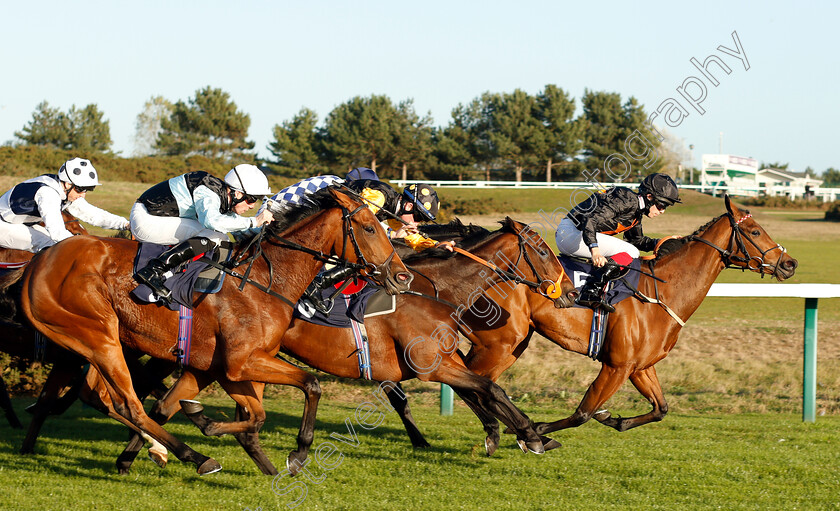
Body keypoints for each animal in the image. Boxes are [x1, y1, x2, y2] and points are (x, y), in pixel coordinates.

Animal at [18, 188, 412, 476]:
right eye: (369, 228)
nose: (402, 276)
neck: (264, 281)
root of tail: (42, 260)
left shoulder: (226, 366)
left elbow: (255, 416)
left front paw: (214, 426)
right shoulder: (240, 363)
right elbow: (309, 386)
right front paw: (297, 454)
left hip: (105, 342)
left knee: (103, 397)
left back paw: (163, 449)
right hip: (99, 337)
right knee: (130, 405)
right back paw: (195, 456)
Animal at [386, 195, 796, 452]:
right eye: (755, 232)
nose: (789, 264)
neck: (663, 291)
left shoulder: (639, 366)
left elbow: (660, 409)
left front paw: (612, 419)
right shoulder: (616, 365)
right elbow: (582, 413)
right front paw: (539, 432)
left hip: (508, 343)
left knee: (471, 383)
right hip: (500, 341)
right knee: (472, 383)